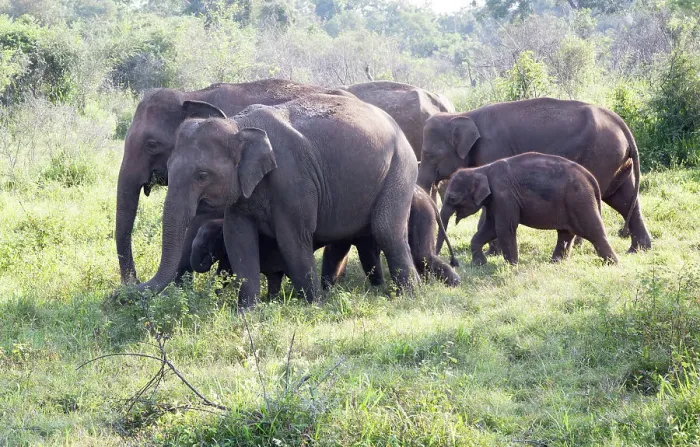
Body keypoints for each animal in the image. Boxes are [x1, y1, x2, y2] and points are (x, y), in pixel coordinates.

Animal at [134, 93, 418, 306]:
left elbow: (293, 238)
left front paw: (313, 306)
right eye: (168, 167)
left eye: (202, 175)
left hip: (399, 170)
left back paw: (409, 295)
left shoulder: (293, 180)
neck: (239, 125)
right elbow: (238, 238)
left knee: (386, 229)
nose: (126, 292)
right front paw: (247, 312)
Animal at [417, 97, 652, 254]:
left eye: (429, 154)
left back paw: (579, 245)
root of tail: (622, 125)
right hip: (616, 161)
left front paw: (494, 252)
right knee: (624, 199)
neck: (465, 114)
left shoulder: (493, 149)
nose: (442, 256)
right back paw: (638, 249)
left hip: (600, 155)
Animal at [440, 153, 619, 266]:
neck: (481, 169)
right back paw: (555, 263)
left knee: (594, 232)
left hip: (580, 200)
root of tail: (590, 177)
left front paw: (512, 266)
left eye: (452, 199)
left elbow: (504, 228)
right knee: (565, 233)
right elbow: (490, 228)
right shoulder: (493, 201)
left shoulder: (504, 196)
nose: (454, 263)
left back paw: (612, 264)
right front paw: (479, 264)